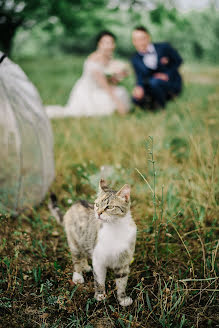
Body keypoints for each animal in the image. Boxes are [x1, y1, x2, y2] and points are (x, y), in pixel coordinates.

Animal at [48, 178, 136, 306]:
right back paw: (78, 276)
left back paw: (85, 267)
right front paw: (100, 296)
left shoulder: (123, 261)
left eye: (109, 207)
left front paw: (122, 299)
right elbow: (99, 281)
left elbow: (122, 282)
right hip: (74, 243)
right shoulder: (99, 260)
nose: (98, 213)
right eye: (97, 205)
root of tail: (76, 203)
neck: (115, 228)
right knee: (76, 259)